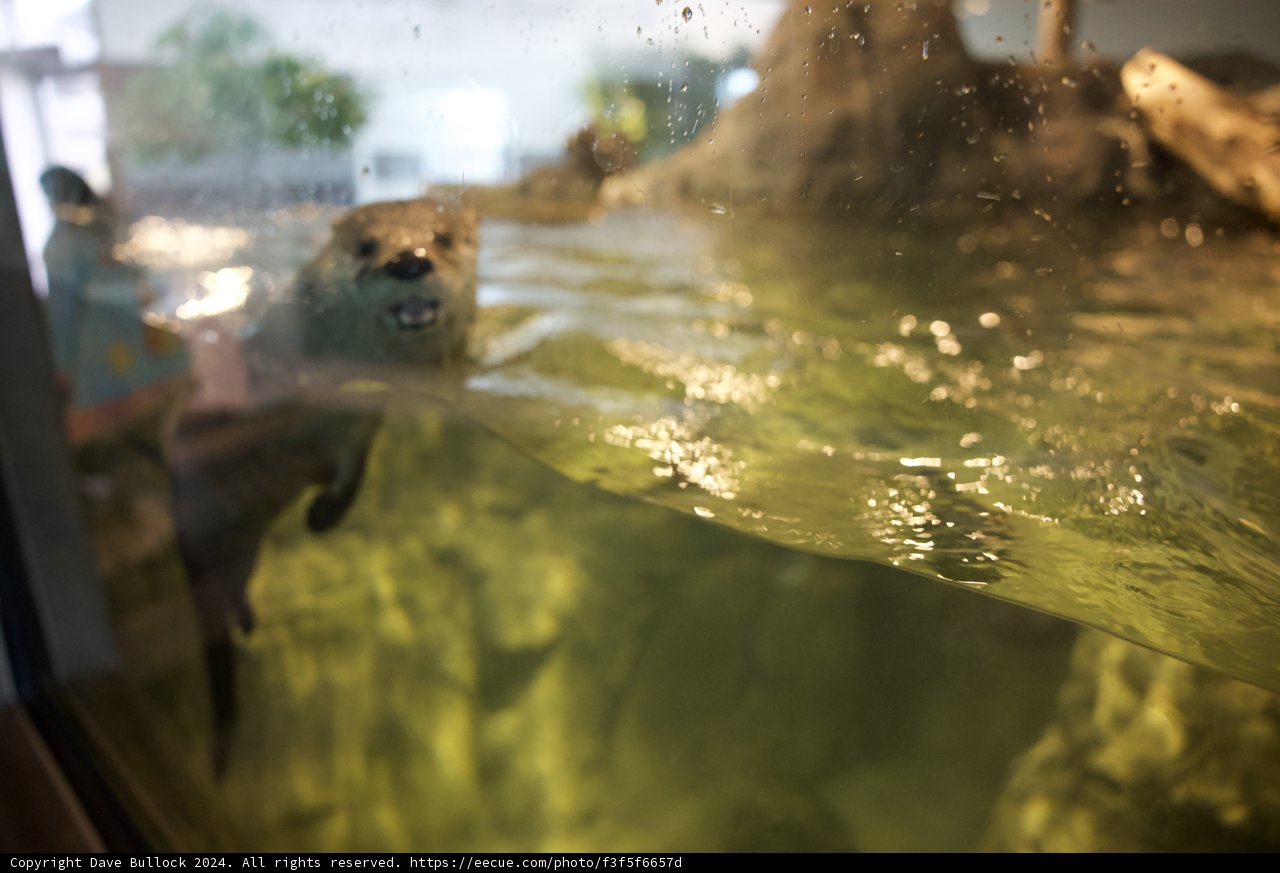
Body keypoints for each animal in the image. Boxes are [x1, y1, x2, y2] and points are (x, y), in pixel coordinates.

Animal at [164, 198, 478, 774]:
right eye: (365, 246)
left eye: (444, 237)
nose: (409, 261)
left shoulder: (359, 425)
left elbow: (351, 471)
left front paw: (323, 516)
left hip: (245, 541)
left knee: (234, 578)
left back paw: (245, 620)